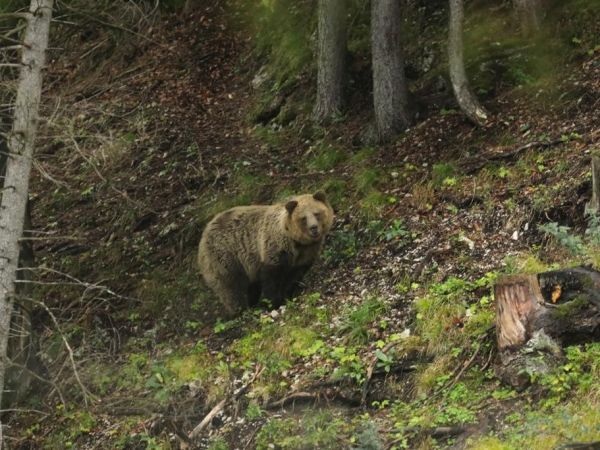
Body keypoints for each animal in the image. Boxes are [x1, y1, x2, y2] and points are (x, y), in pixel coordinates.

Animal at [199, 192, 336, 318]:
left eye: (317, 213)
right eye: (303, 218)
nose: (314, 228)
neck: (296, 242)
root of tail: (206, 229)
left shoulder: (305, 254)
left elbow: (295, 276)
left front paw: (287, 294)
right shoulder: (274, 249)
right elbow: (271, 278)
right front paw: (271, 303)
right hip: (225, 254)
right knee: (231, 285)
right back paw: (240, 310)